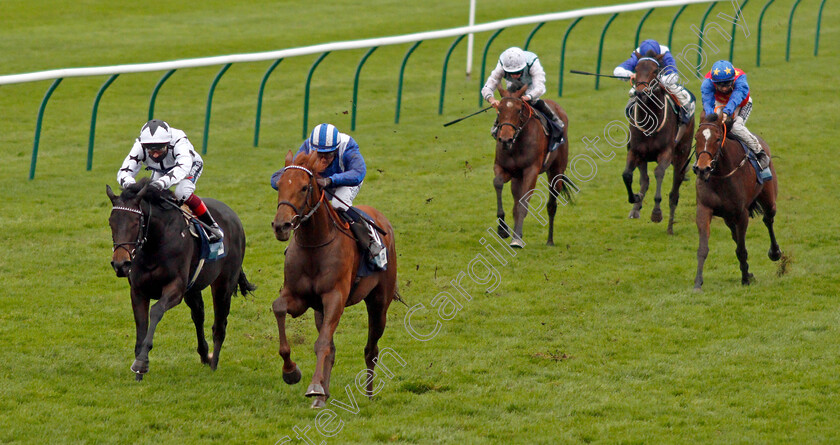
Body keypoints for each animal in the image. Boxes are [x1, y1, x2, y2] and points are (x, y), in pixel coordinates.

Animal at [104, 179, 253, 380]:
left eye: (136, 222)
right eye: (111, 222)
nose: (120, 264)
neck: (155, 245)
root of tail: (233, 217)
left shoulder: (175, 288)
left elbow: (156, 311)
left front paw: (142, 362)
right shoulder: (138, 291)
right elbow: (141, 327)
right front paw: (138, 372)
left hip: (224, 284)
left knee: (219, 325)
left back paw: (214, 364)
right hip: (193, 288)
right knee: (198, 315)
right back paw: (205, 355)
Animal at [270, 151, 398, 408]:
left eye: (304, 187)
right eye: (279, 184)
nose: (281, 226)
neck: (314, 244)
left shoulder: (335, 297)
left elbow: (322, 344)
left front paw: (314, 385)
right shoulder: (299, 297)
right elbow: (279, 308)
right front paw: (291, 372)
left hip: (379, 303)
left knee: (371, 349)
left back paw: (368, 395)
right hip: (320, 310)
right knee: (332, 345)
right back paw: (323, 396)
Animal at [492, 85, 572, 248]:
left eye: (518, 110)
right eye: (499, 110)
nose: (505, 139)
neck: (516, 143)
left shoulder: (531, 171)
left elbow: (523, 204)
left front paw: (516, 239)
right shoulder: (504, 168)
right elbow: (498, 183)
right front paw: (502, 229)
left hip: (556, 172)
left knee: (552, 204)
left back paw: (550, 240)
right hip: (517, 178)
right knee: (516, 204)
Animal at [620, 54, 692, 234]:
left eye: (655, 71)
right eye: (636, 69)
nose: (640, 92)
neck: (649, 122)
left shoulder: (666, 152)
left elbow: (659, 172)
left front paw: (657, 213)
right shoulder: (635, 151)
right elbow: (627, 175)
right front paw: (635, 198)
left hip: (681, 155)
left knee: (674, 192)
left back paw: (670, 228)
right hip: (643, 158)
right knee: (645, 180)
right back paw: (636, 209)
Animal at [688, 112, 780, 290]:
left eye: (717, 139)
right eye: (696, 137)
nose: (702, 169)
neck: (720, 176)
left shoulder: (741, 214)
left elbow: (742, 249)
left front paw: (745, 279)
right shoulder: (704, 208)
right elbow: (703, 248)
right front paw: (697, 283)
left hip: (768, 198)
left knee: (768, 219)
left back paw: (775, 253)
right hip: (728, 217)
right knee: (735, 235)